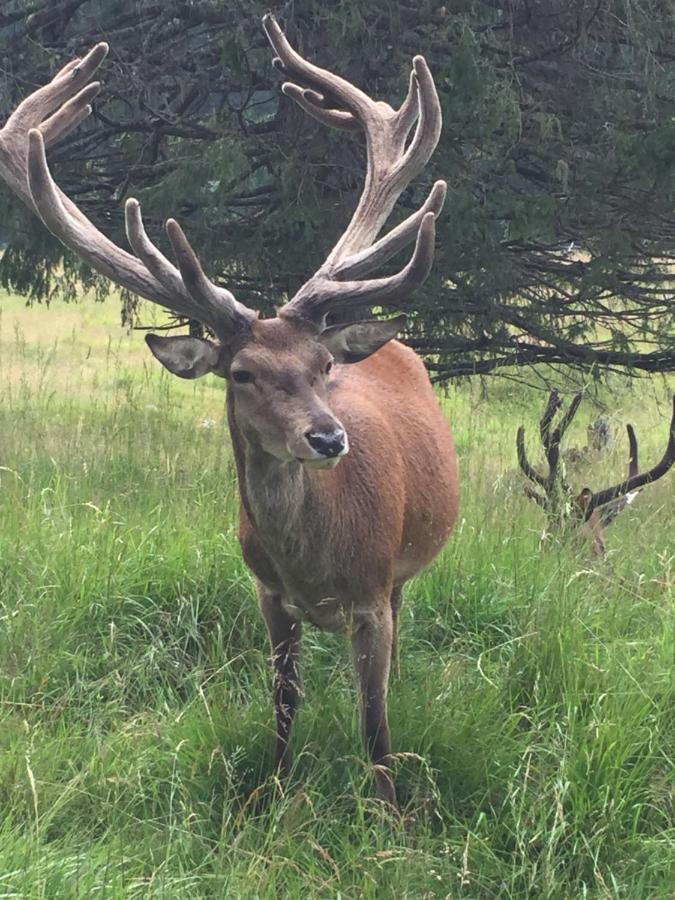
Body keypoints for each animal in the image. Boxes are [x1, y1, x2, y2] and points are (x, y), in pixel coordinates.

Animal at [0, 15, 460, 808]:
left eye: (323, 367)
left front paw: (390, 812)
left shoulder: (372, 590)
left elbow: (373, 719)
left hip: (405, 571)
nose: (326, 436)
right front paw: (270, 795)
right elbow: (283, 702)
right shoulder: (265, 592)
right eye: (242, 374)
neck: (314, 562)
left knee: (395, 651)